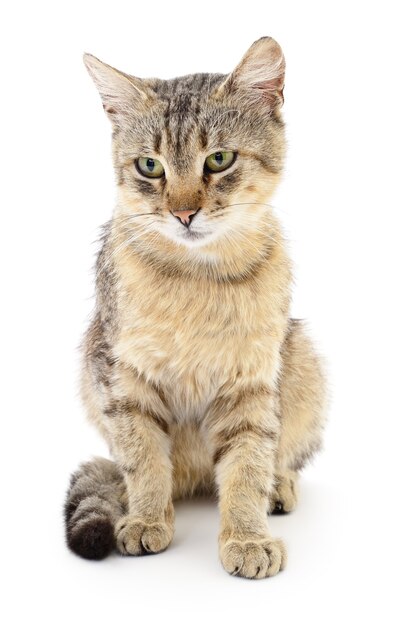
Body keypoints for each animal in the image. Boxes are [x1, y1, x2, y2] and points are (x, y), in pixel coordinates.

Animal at [64, 36, 326, 576]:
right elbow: (143, 457)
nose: (184, 213)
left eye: (219, 159)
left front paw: (247, 537)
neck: (196, 277)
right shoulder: (121, 376)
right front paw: (146, 518)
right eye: (150, 166)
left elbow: (248, 463)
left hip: (303, 360)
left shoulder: (251, 380)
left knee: (276, 456)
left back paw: (279, 486)